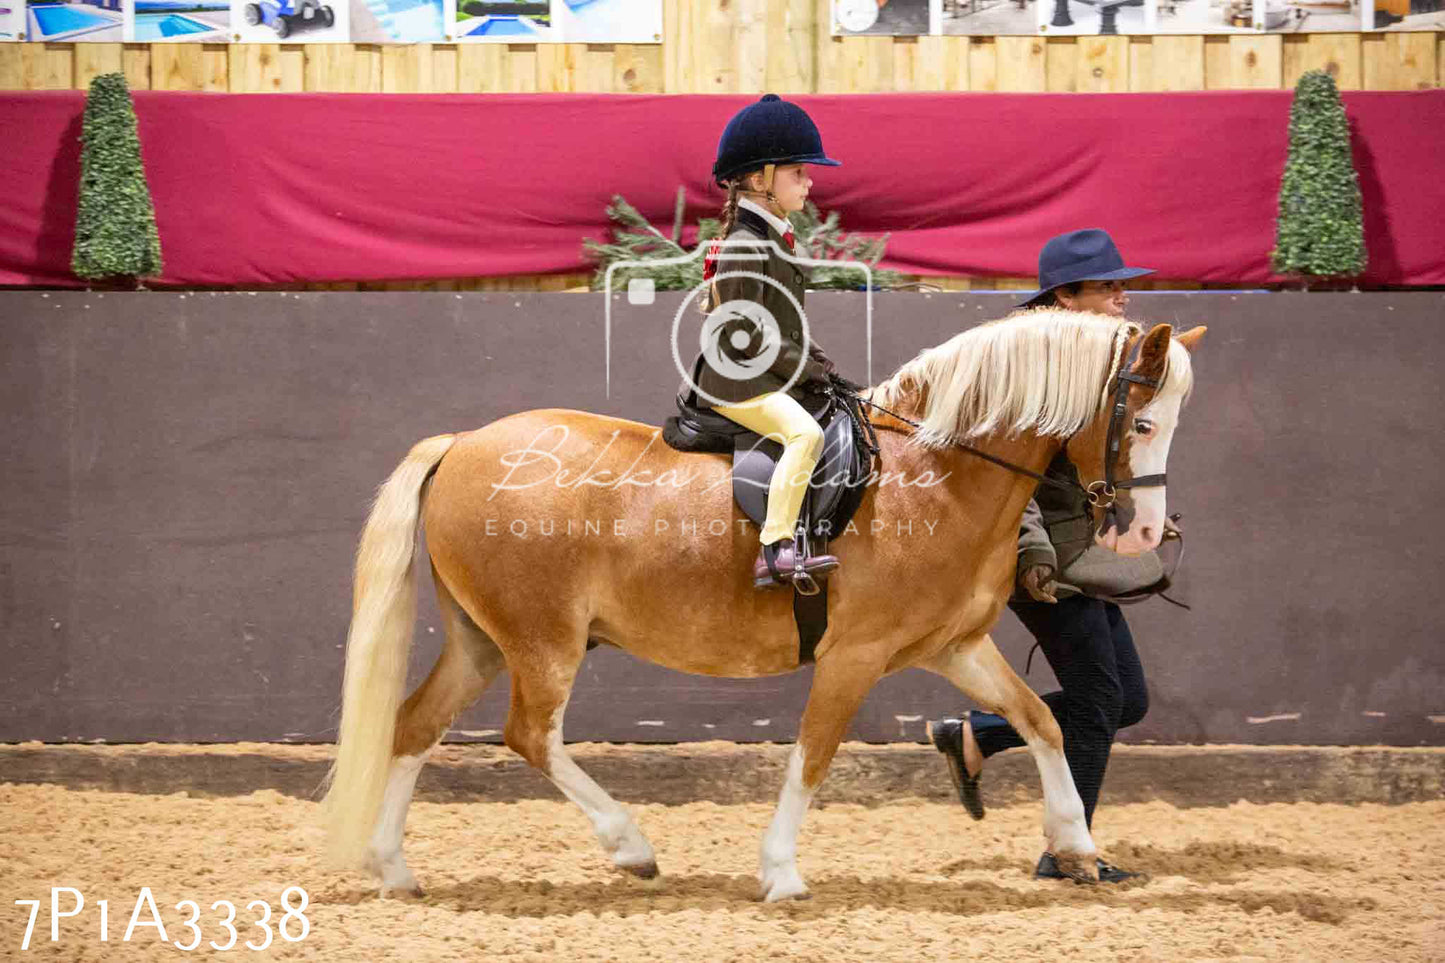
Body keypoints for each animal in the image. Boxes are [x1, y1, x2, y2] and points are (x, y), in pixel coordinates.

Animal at [322, 310, 1202, 896]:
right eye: (1141, 421)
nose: (1147, 529)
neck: (934, 473)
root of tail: (461, 445)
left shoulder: (954, 647)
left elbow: (1041, 718)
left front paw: (1077, 844)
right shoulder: (852, 656)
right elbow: (812, 756)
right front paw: (779, 871)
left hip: (480, 639)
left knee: (415, 725)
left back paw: (393, 868)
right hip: (542, 642)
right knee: (529, 735)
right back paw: (629, 845)